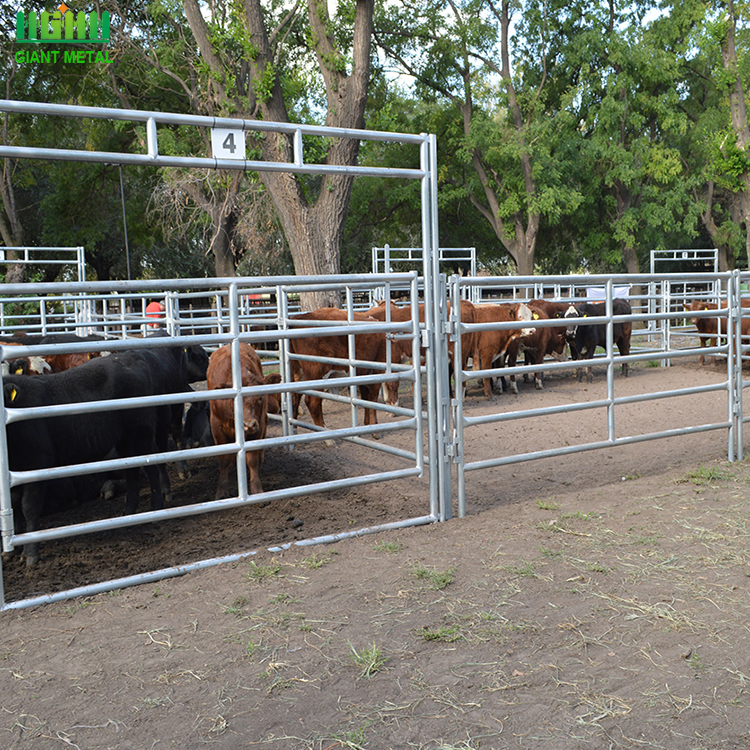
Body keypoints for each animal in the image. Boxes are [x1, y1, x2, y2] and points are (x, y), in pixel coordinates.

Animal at [206, 346, 282, 500]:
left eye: (260, 398)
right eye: (235, 401)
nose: (249, 425)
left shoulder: (258, 426)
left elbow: (252, 459)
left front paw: (256, 489)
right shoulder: (216, 426)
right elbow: (223, 460)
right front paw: (221, 491)